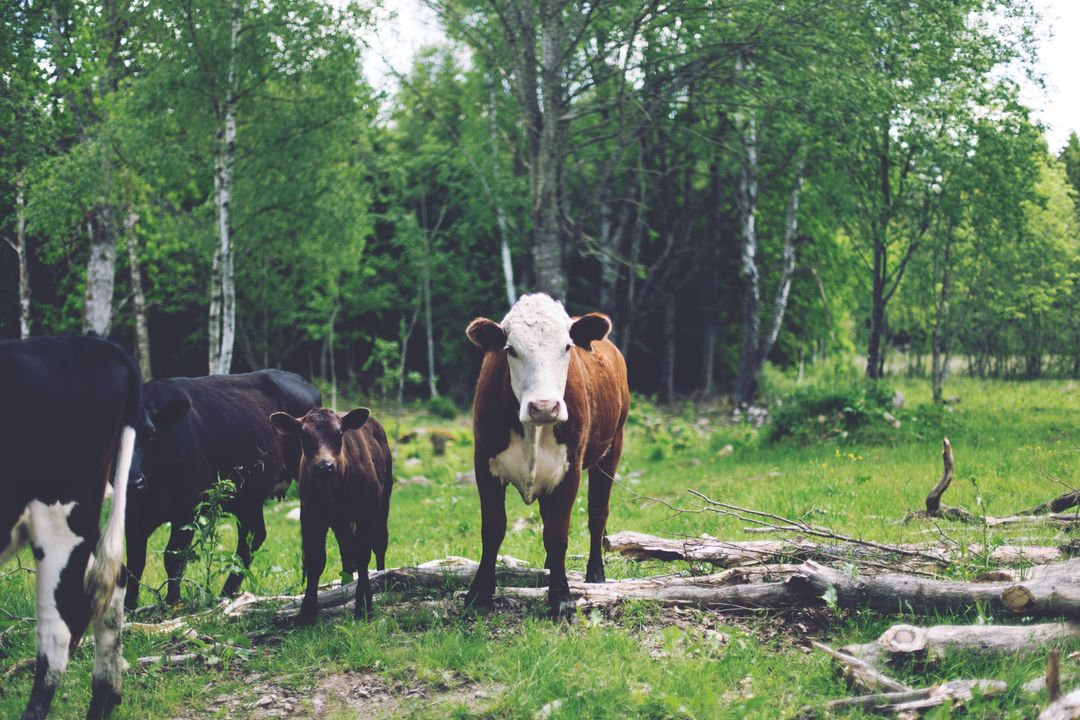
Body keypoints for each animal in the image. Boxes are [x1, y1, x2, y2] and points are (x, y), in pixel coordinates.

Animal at [124, 370, 320, 611]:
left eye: (151, 434)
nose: (134, 481)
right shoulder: (132, 516)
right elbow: (134, 563)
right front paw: (127, 608)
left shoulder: (187, 510)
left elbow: (174, 558)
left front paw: (172, 603)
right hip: (247, 497)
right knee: (252, 538)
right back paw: (226, 593)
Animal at [270, 407, 393, 625]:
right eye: (303, 435)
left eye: (339, 433)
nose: (324, 466)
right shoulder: (310, 516)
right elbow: (315, 560)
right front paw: (306, 613)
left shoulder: (366, 512)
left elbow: (363, 555)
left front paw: (364, 607)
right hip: (340, 522)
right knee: (346, 550)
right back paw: (345, 585)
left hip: (383, 501)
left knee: (379, 543)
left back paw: (381, 577)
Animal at [463, 293, 630, 621]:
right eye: (511, 349)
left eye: (566, 346)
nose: (543, 407)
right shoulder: (484, 463)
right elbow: (493, 529)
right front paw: (480, 592)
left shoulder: (570, 470)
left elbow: (557, 534)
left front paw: (561, 598)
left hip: (611, 450)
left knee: (597, 514)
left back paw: (595, 573)